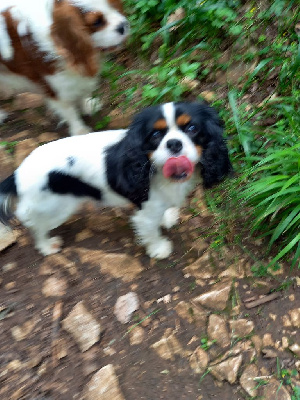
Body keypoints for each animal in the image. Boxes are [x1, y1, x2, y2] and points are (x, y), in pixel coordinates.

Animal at [0, 0, 129, 136]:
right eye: (97, 22)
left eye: (113, 7)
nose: (123, 25)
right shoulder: (56, 87)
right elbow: (69, 111)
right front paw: (80, 131)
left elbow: (82, 93)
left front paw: (88, 105)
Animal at [0, 103, 232, 258]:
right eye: (155, 135)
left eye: (192, 128)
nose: (174, 143)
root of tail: (18, 173)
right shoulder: (146, 212)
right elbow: (150, 229)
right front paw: (159, 249)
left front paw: (167, 218)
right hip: (54, 207)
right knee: (36, 226)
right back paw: (47, 246)